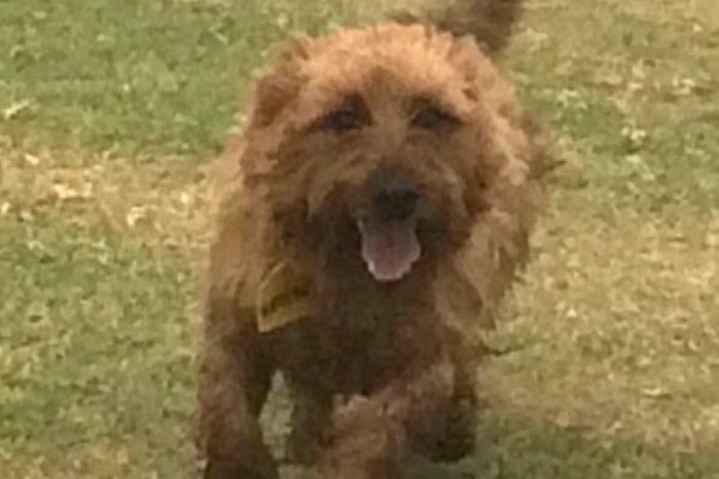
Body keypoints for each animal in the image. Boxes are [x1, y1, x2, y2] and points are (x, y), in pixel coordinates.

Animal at [195, 0, 552, 478]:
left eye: (433, 115)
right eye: (344, 117)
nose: (396, 194)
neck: (349, 276)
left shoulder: (426, 354)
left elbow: (377, 430)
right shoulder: (238, 317)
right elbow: (227, 407)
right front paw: (243, 464)